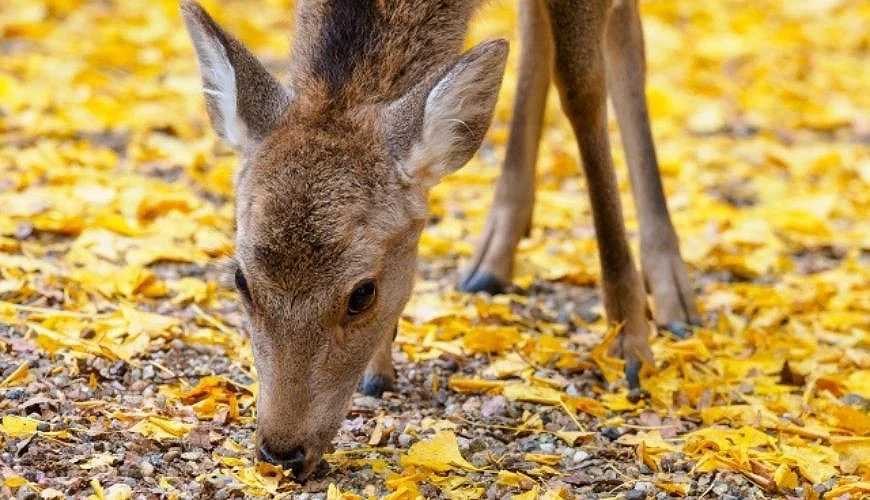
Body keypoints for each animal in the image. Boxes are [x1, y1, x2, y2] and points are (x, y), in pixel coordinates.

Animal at [182, 0, 700, 480]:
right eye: (241, 280)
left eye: (362, 293)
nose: (281, 452)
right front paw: (378, 367)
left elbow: (582, 86)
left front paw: (629, 344)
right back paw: (492, 258)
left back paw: (671, 296)